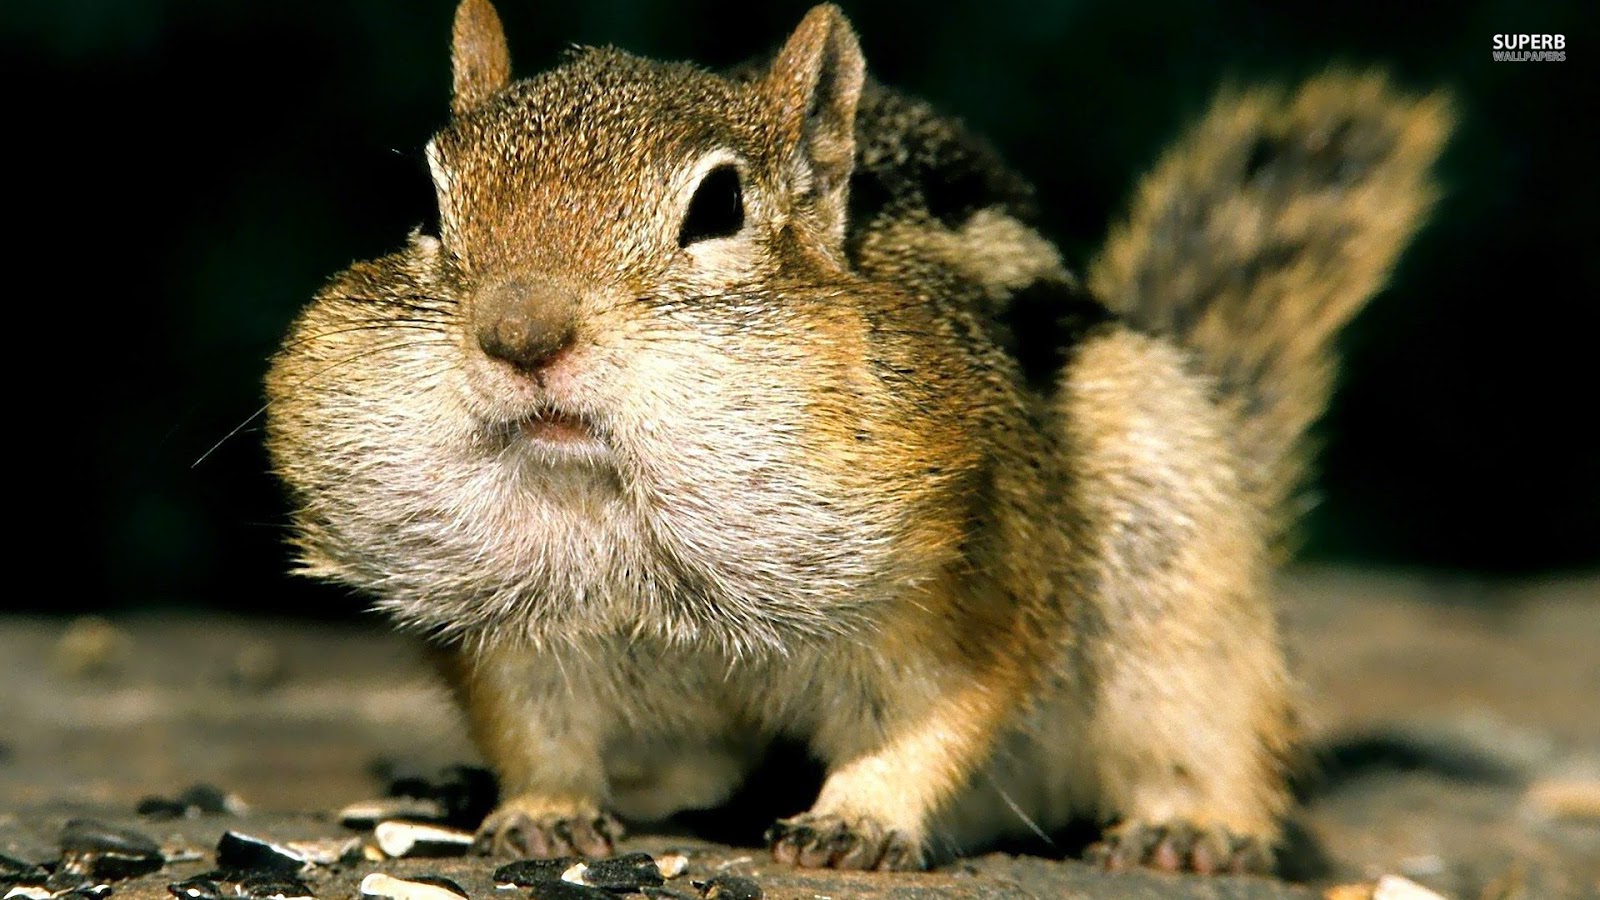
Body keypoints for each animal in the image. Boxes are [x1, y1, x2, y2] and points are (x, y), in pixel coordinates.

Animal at [265, 0, 1451, 875]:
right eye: (429, 203)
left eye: (718, 207)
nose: (521, 336)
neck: (613, 498)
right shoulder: (511, 628)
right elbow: (534, 722)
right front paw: (540, 808)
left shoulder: (979, 578)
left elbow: (939, 710)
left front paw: (860, 819)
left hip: (1184, 576)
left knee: (1214, 728)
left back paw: (1192, 830)